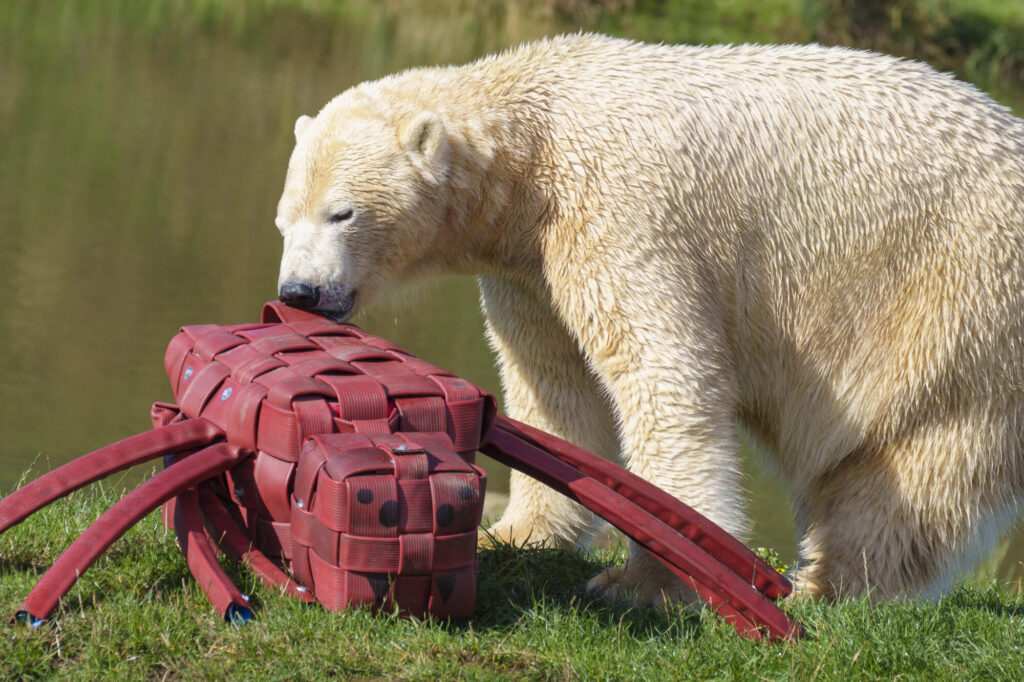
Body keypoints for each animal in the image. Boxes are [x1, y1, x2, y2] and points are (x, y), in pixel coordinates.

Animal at [274, 33, 1024, 603]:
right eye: (284, 220)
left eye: (343, 212)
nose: (300, 292)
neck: (536, 143)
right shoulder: (530, 261)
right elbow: (554, 383)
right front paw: (516, 531)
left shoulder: (621, 208)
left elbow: (659, 371)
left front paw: (646, 579)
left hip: (959, 303)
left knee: (916, 464)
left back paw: (825, 583)